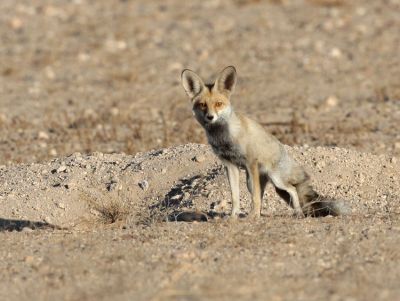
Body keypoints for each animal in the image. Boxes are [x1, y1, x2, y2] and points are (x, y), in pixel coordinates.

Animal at [180, 65, 348, 217]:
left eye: (218, 104)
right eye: (203, 105)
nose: (210, 117)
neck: (225, 137)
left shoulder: (250, 162)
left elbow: (254, 198)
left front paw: (251, 218)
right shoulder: (230, 165)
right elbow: (235, 197)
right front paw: (233, 218)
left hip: (275, 179)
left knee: (292, 190)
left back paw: (297, 214)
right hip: (253, 180)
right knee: (262, 195)